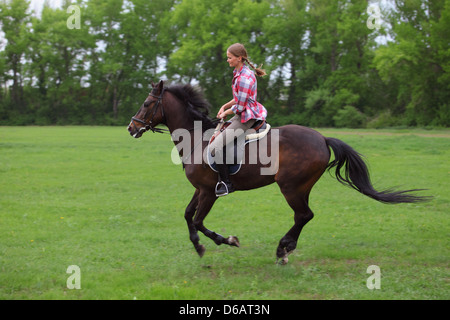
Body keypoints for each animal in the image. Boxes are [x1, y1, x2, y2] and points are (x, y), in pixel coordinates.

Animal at [127, 80, 428, 264]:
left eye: (146, 103)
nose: (131, 128)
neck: (195, 139)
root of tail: (322, 138)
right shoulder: (200, 189)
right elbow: (188, 215)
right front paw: (198, 246)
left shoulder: (210, 192)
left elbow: (199, 220)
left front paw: (228, 240)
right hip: (300, 187)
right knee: (303, 216)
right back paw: (285, 248)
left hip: (291, 187)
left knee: (304, 215)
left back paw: (283, 248)